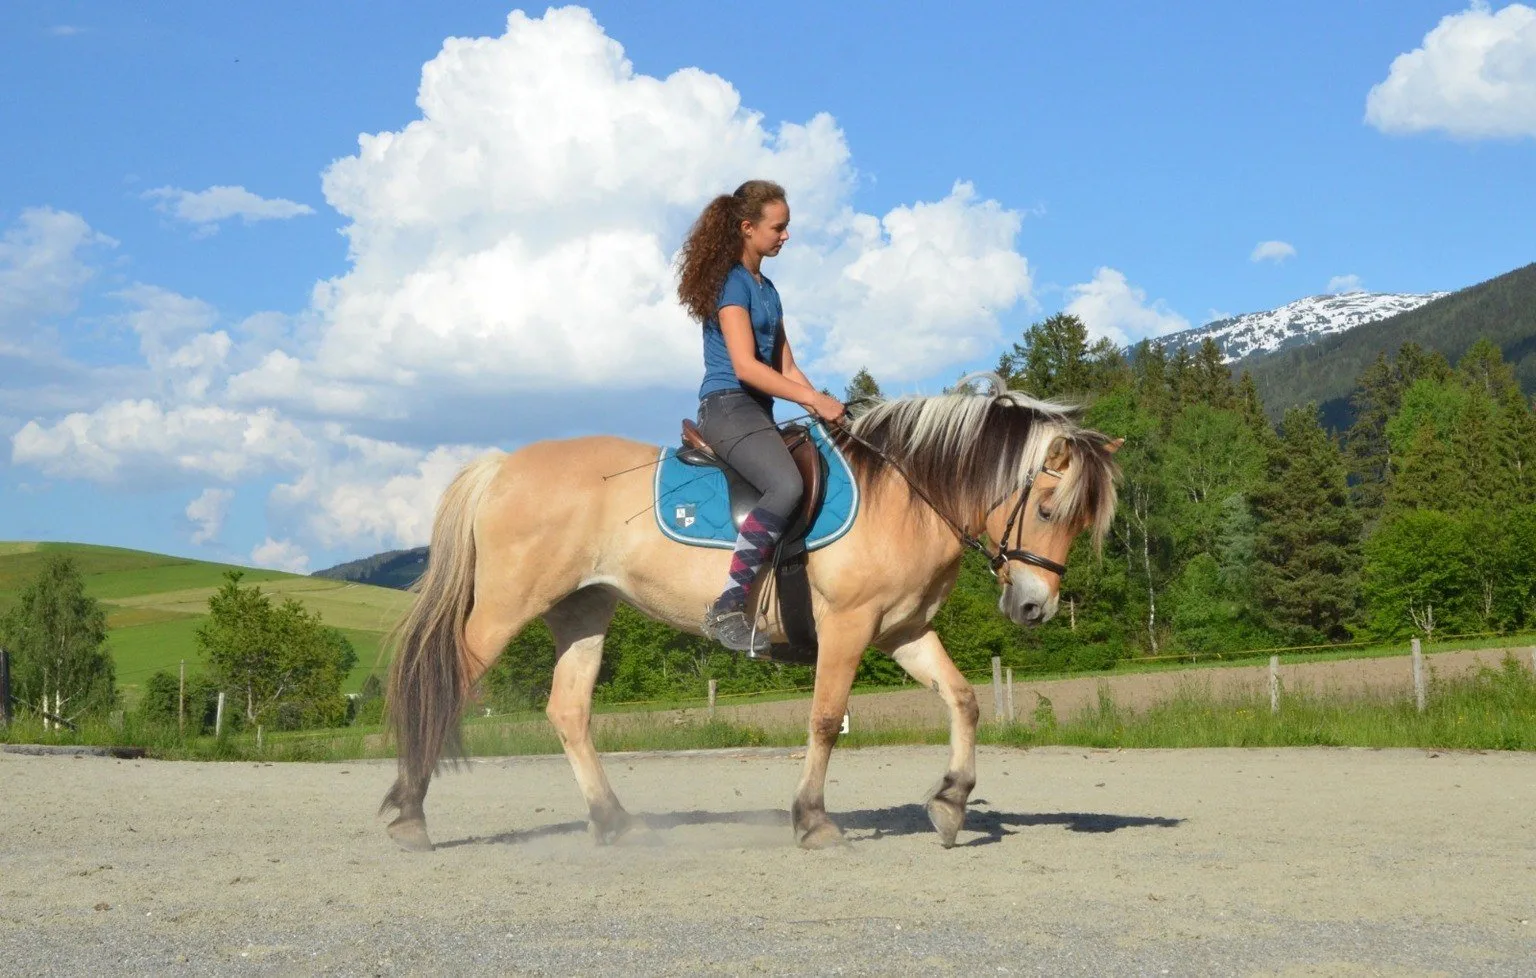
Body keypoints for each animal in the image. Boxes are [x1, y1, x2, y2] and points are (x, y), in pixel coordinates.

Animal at [380, 373, 1121, 851]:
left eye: (1081, 520)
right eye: (1047, 509)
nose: (1034, 606)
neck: (905, 494)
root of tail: (502, 466)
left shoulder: (902, 630)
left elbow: (963, 700)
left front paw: (949, 803)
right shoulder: (848, 625)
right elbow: (825, 719)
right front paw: (813, 819)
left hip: (582, 610)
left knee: (567, 712)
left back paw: (613, 821)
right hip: (507, 608)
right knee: (446, 686)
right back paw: (408, 816)